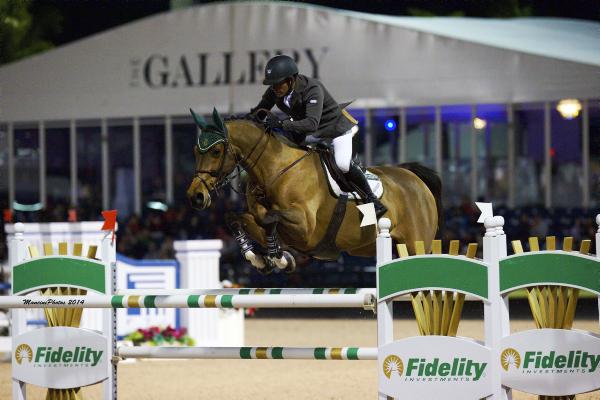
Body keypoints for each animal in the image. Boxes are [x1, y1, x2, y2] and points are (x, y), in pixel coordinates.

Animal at [187, 108, 442, 273]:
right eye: (196, 151)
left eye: (216, 151)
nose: (196, 196)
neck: (274, 169)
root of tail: (414, 178)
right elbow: (237, 218)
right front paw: (259, 257)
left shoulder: (304, 227)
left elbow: (269, 219)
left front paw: (278, 257)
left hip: (415, 243)